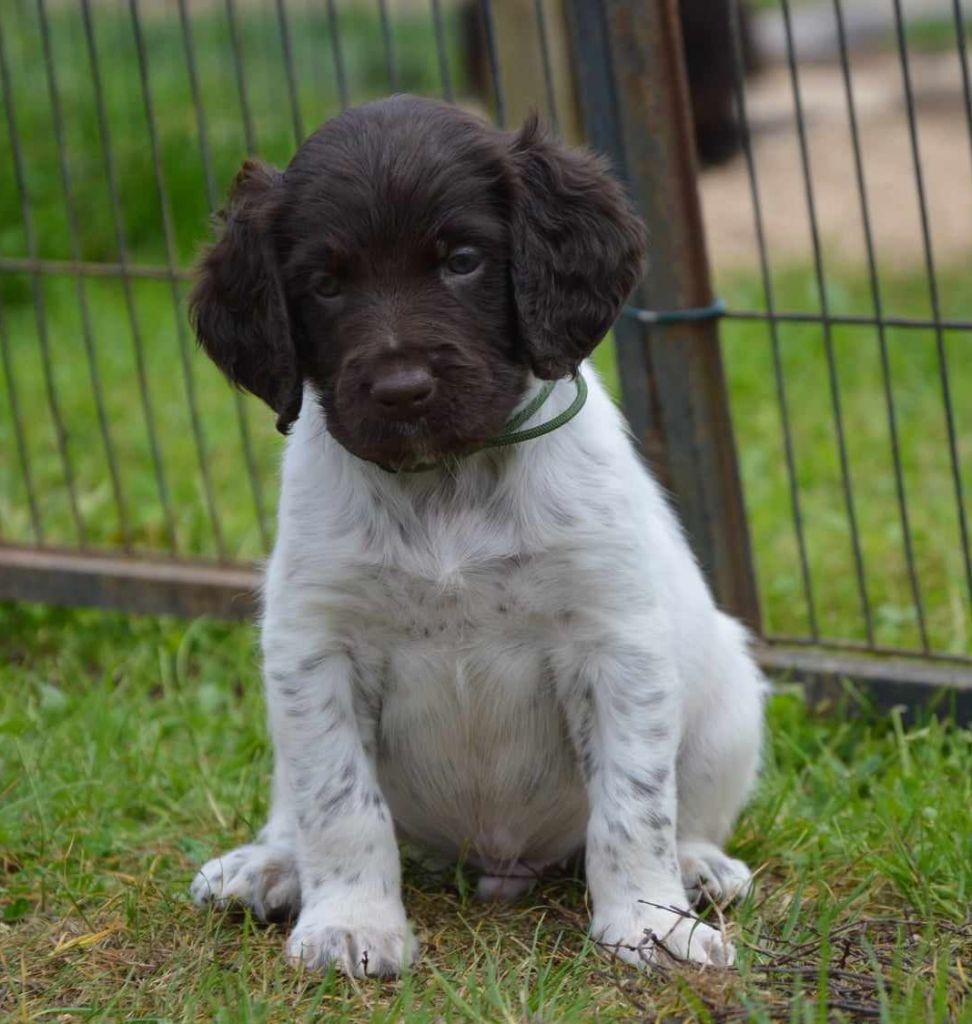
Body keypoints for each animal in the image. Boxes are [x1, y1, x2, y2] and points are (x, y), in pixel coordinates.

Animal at [187, 94, 766, 974]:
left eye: (461, 260)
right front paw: (352, 923)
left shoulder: (615, 640)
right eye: (323, 284)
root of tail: (499, 864)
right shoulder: (313, 645)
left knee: (686, 805)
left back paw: (698, 868)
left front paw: (648, 921)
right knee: (295, 805)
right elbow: (339, 802)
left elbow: (632, 805)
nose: (401, 389)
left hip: (729, 703)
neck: (446, 485)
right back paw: (270, 866)